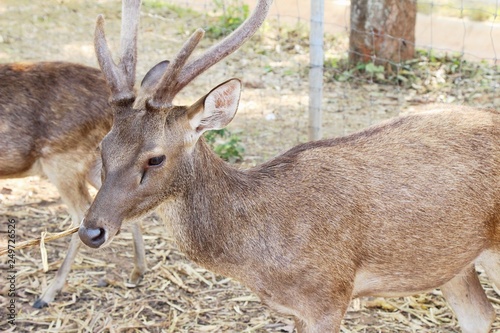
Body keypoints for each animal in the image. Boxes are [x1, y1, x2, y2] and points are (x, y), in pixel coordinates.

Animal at [78, 0, 500, 330]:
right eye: (104, 146)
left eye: (156, 157)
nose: (90, 231)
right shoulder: (296, 310)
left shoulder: (329, 298)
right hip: (452, 263)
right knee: (480, 316)